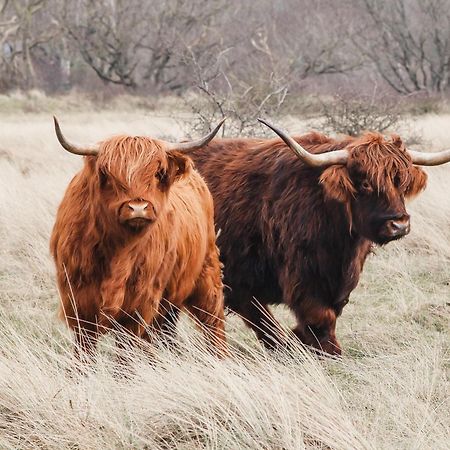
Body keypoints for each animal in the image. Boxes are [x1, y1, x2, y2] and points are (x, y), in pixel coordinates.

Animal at [51, 118, 229, 360]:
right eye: (108, 174)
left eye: (158, 173)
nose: (138, 208)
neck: (117, 250)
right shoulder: (80, 305)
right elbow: (84, 350)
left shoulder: (137, 306)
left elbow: (125, 356)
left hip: (207, 276)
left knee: (213, 324)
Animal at [175, 120, 450, 356]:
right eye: (365, 183)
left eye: (401, 182)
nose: (399, 224)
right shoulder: (302, 277)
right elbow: (319, 316)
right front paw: (326, 350)